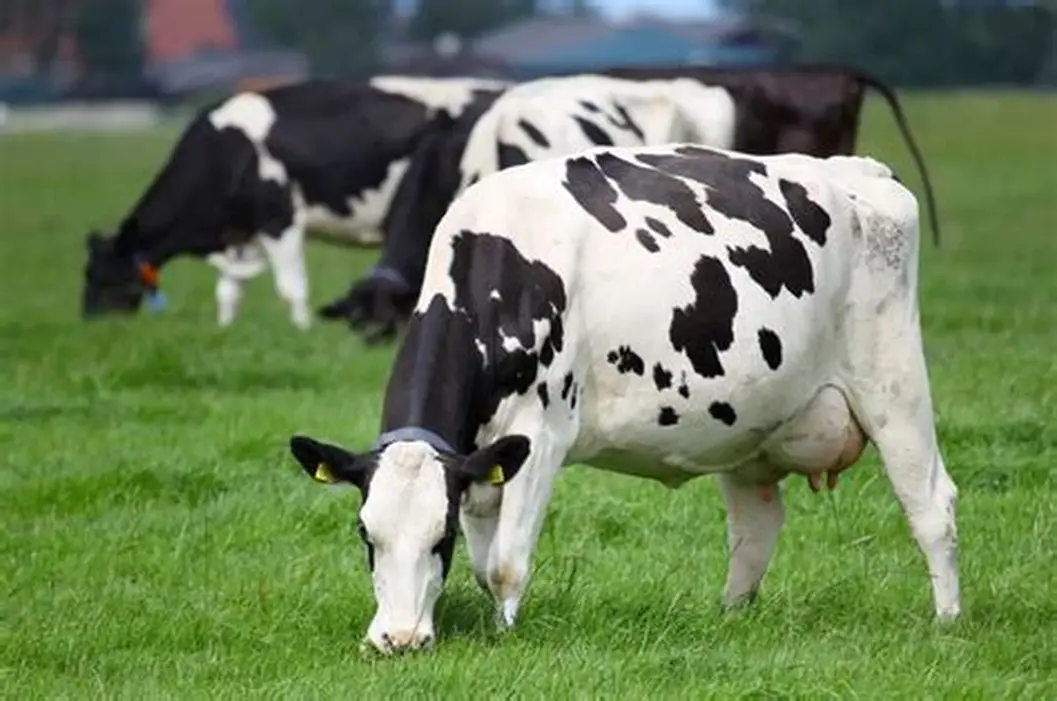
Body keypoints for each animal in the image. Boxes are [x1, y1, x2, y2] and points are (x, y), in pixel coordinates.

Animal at [80, 75, 508, 329]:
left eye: (103, 276)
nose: (89, 323)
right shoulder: (240, 234)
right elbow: (229, 291)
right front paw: (226, 330)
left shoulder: (279, 217)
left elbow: (291, 287)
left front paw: (302, 332)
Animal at [286, 143, 961, 654]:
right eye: (366, 534)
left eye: (439, 537)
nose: (398, 640)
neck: (502, 274)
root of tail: (860, 171)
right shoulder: (481, 459)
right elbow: (484, 566)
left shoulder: (541, 436)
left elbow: (506, 564)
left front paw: (505, 638)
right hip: (752, 422)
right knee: (756, 528)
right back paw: (731, 618)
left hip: (892, 377)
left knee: (931, 505)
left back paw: (947, 622)